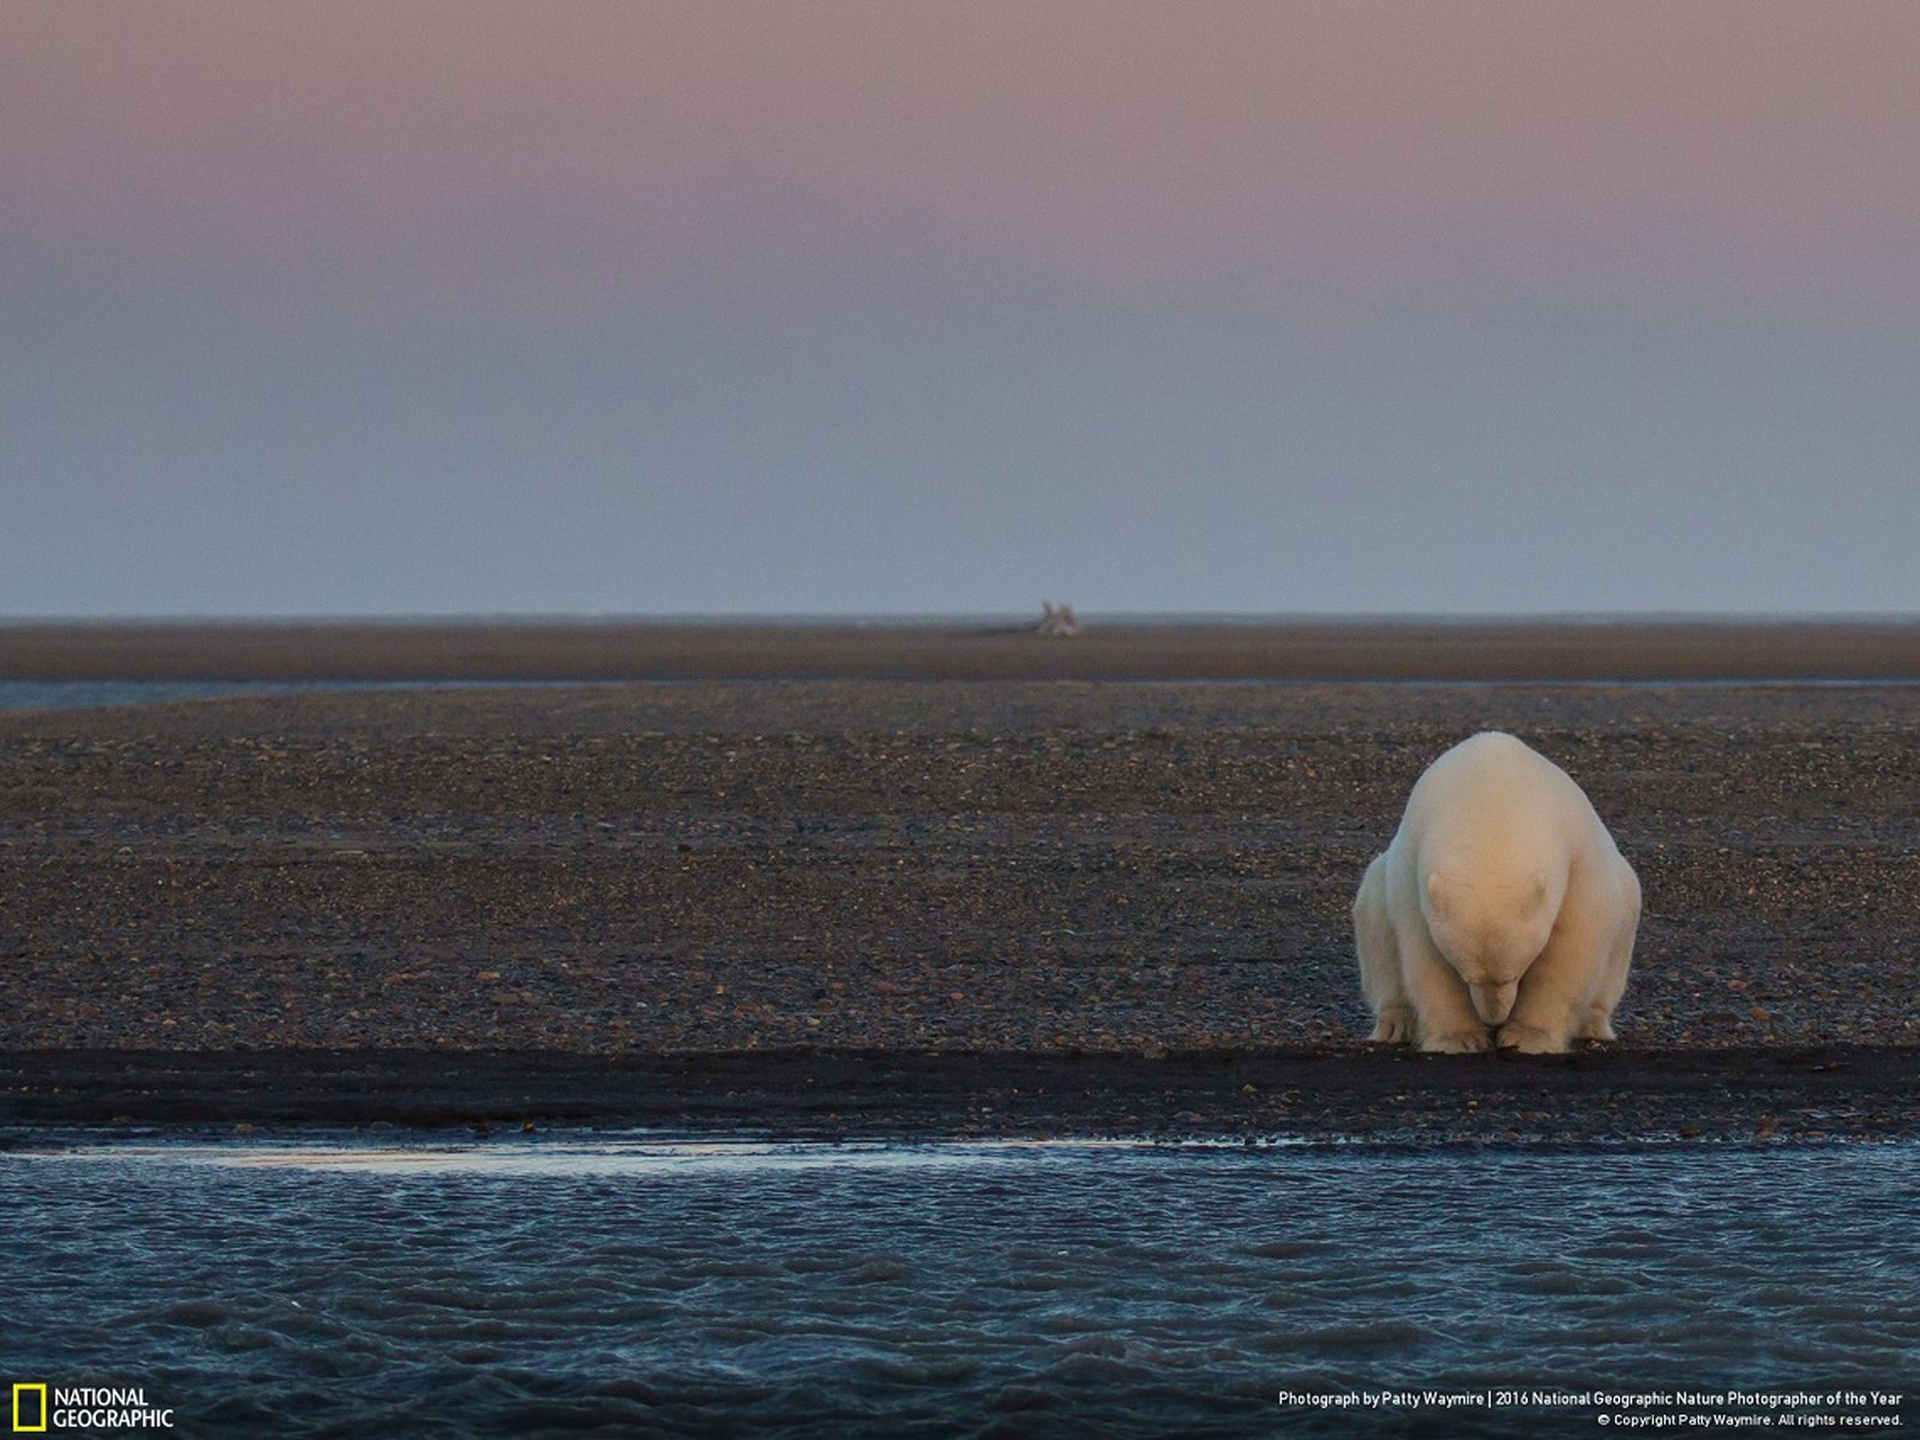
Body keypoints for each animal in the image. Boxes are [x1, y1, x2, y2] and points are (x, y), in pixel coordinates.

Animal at [1352, 730, 1640, 1054]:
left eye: (1512, 975)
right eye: (1467, 976)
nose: (1493, 1019)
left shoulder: (1578, 860)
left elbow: (1570, 950)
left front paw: (1528, 1037)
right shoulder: (1413, 876)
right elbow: (1426, 957)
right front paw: (1459, 1038)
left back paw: (1592, 1024)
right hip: (1377, 889)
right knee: (1376, 928)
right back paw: (1395, 1024)